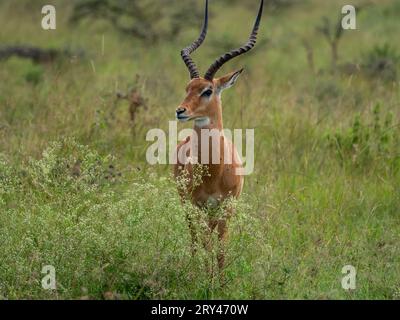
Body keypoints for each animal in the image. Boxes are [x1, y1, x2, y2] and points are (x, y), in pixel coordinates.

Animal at [174, 0, 262, 276]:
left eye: (207, 90)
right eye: (187, 88)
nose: (180, 111)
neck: (214, 171)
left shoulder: (226, 208)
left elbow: (221, 250)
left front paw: (220, 281)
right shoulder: (197, 205)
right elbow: (206, 246)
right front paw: (206, 279)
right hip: (189, 208)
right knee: (195, 241)